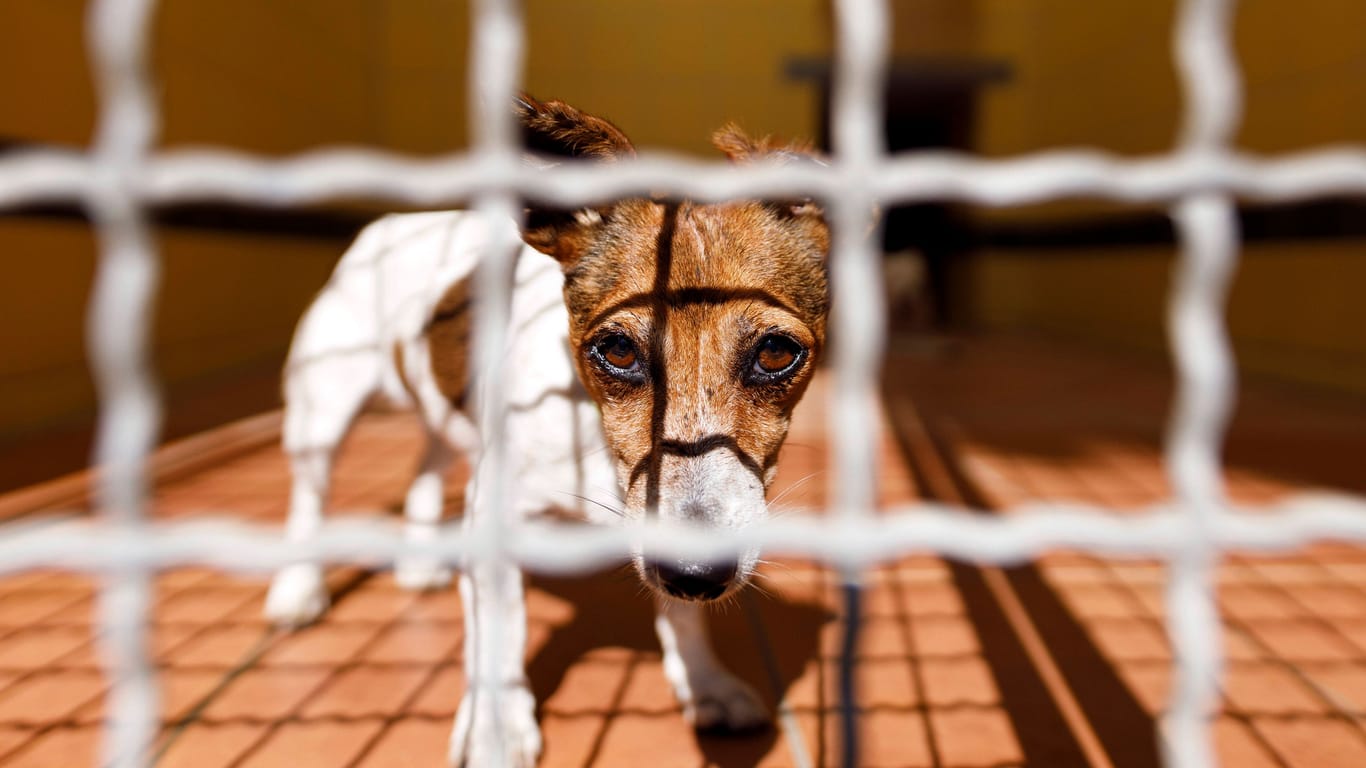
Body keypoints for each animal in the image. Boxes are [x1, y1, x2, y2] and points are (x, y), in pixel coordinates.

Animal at [260, 97, 825, 765]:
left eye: (777, 354)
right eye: (616, 349)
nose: (697, 571)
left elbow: (682, 617)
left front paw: (704, 683)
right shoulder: (497, 522)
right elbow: (501, 640)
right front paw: (496, 732)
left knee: (426, 461)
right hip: (322, 410)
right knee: (310, 496)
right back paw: (298, 590)